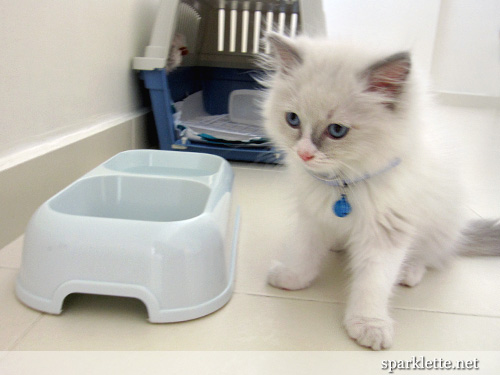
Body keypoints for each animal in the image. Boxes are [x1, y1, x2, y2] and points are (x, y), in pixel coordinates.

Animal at [260, 33, 498, 352]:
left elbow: (373, 284)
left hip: (438, 226)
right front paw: (293, 278)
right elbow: (304, 253)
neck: (343, 185)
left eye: (337, 130)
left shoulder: (386, 231)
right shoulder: (313, 217)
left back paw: (408, 272)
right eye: (293, 120)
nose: (304, 154)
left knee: (429, 257)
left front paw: (368, 325)